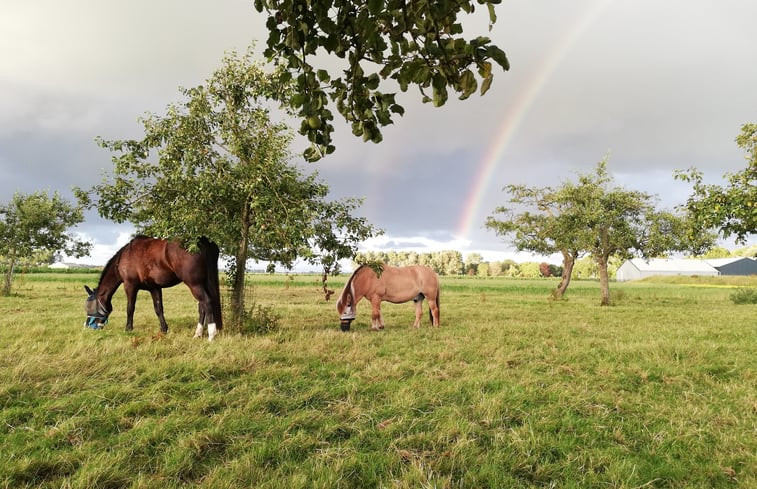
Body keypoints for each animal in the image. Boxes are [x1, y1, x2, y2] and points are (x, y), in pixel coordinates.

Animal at [85, 235, 224, 340]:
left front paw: (128, 329)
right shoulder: (154, 288)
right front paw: (164, 329)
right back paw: (198, 334)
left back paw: (211, 335)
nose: (88, 326)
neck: (126, 256)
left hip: (194, 284)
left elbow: (130, 308)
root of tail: (201, 241)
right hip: (201, 284)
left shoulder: (130, 286)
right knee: (202, 307)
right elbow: (158, 309)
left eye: (88, 306)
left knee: (207, 302)